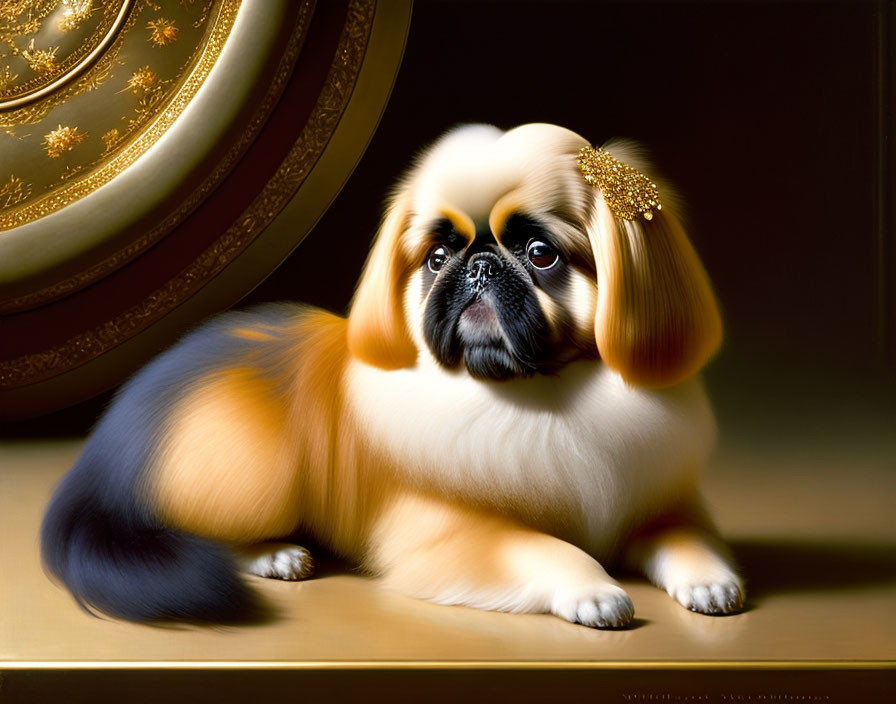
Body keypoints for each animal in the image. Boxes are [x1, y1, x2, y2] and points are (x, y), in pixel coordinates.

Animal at [40, 124, 744, 628]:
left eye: (541, 254)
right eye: (437, 256)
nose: (478, 264)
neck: (544, 396)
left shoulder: (655, 502)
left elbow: (684, 538)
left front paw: (710, 579)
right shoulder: (450, 533)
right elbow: (544, 548)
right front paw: (595, 589)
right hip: (258, 472)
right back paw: (274, 554)